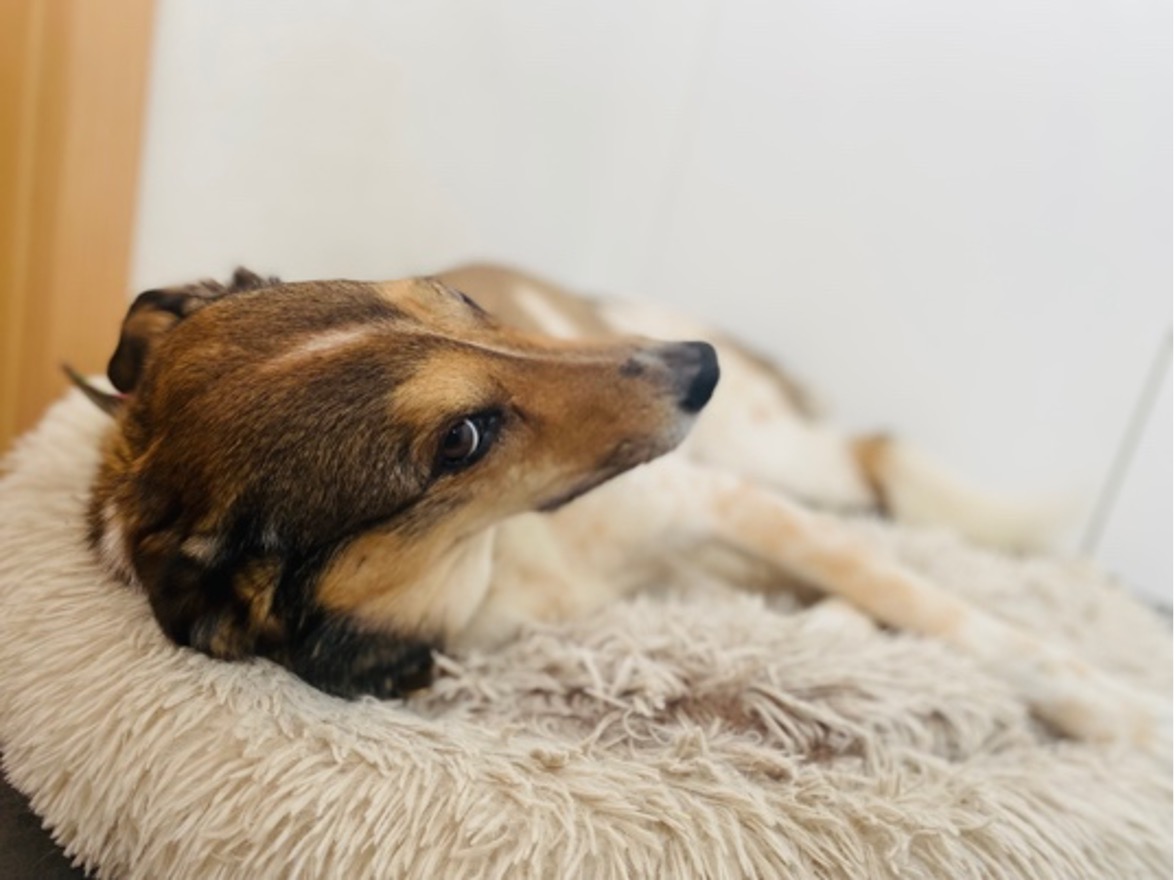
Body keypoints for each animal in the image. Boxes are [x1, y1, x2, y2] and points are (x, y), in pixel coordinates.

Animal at [78, 263, 1171, 743]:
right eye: (459, 440)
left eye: (454, 300)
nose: (701, 369)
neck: (503, 558)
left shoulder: (728, 502)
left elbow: (969, 622)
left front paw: (1121, 712)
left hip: (785, 457)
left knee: (876, 474)